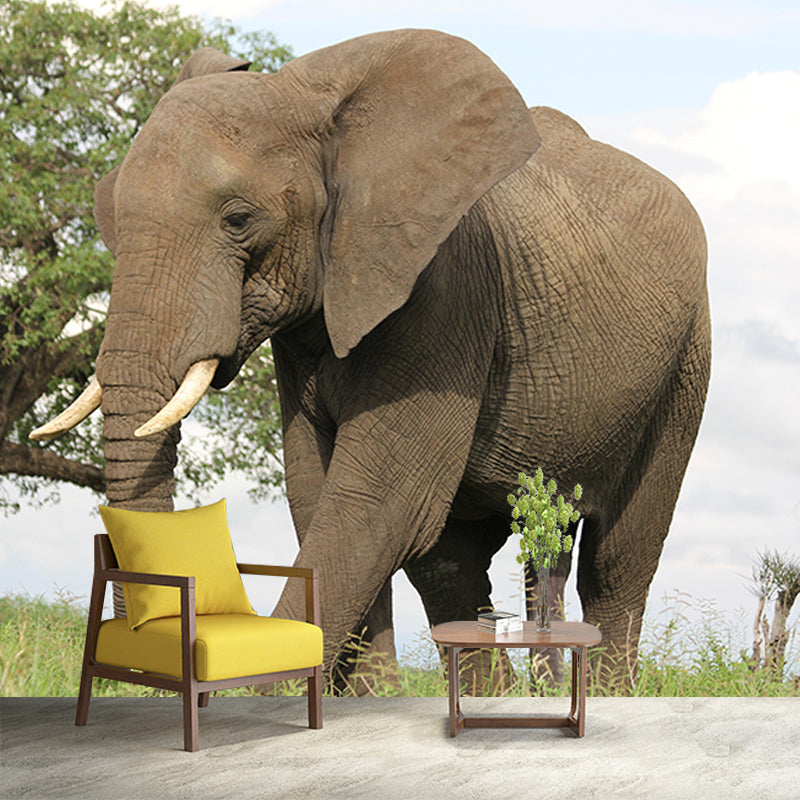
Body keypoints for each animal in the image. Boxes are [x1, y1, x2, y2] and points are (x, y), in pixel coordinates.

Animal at [32, 30, 710, 684]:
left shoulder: (445, 287)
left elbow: (378, 500)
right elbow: (319, 494)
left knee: (616, 559)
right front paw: (369, 699)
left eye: (239, 219)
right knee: (453, 564)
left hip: (683, 368)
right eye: (109, 216)